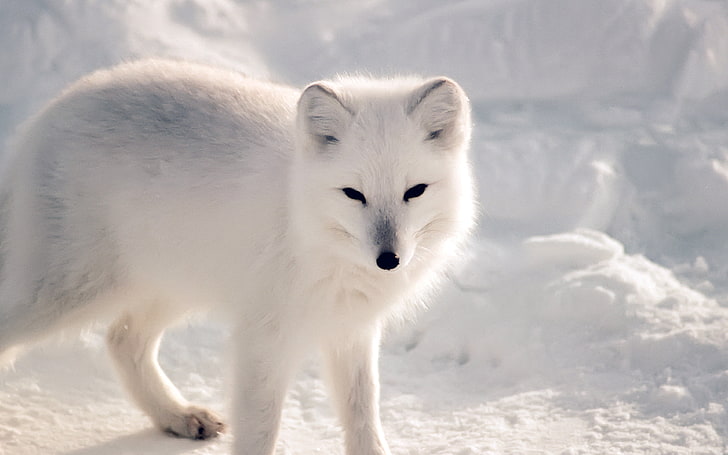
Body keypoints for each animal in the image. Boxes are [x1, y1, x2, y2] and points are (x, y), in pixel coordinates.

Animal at [0, 60, 478, 455]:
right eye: (353, 194)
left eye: (415, 191)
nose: (388, 260)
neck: (309, 229)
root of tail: (47, 115)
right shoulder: (264, 338)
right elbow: (261, 430)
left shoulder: (350, 328)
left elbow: (363, 414)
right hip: (69, 292)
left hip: (172, 285)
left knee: (122, 340)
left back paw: (176, 416)